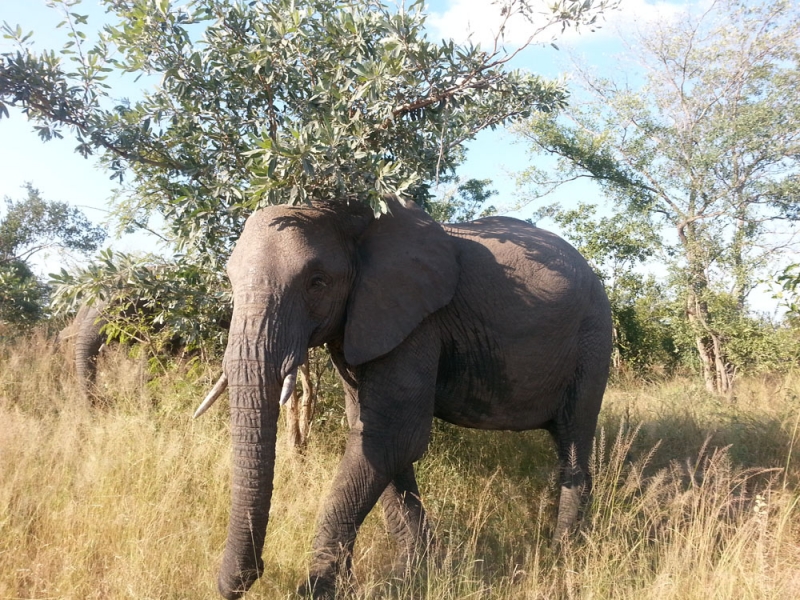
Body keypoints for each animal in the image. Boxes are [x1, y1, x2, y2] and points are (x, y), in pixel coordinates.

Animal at [195, 197, 612, 600]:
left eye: (317, 282)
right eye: (229, 281)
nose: (247, 577)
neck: (352, 216)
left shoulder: (418, 321)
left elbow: (392, 436)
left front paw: (315, 591)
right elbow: (374, 438)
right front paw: (419, 573)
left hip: (593, 335)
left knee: (574, 437)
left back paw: (564, 554)